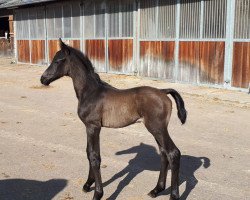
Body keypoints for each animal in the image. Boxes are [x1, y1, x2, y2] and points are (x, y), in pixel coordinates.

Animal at [40, 39, 186, 200]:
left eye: (58, 60)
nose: (43, 79)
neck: (90, 92)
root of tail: (163, 91)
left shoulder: (93, 126)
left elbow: (94, 156)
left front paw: (97, 193)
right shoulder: (90, 127)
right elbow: (89, 152)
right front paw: (87, 184)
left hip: (157, 128)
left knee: (173, 153)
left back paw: (173, 195)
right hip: (157, 130)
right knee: (164, 154)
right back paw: (156, 190)